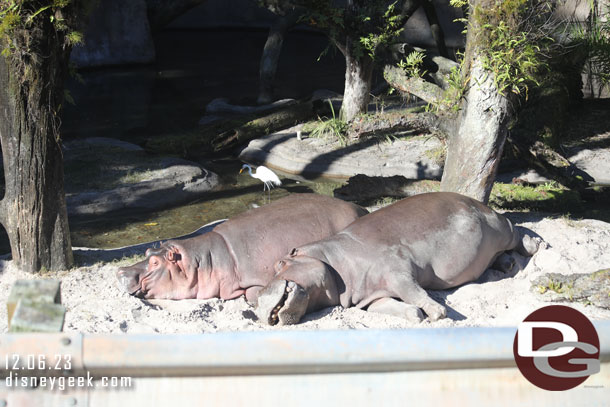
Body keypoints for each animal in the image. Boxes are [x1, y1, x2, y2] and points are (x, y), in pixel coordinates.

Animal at [254, 193, 540, 326]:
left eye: (280, 263)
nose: (255, 303)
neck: (332, 262)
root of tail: (479, 203)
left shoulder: (397, 270)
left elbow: (414, 292)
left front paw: (438, 313)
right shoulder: (369, 298)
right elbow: (395, 306)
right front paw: (417, 316)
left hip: (500, 226)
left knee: (516, 232)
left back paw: (536, 245)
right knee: (499, 256)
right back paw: (508, 265)